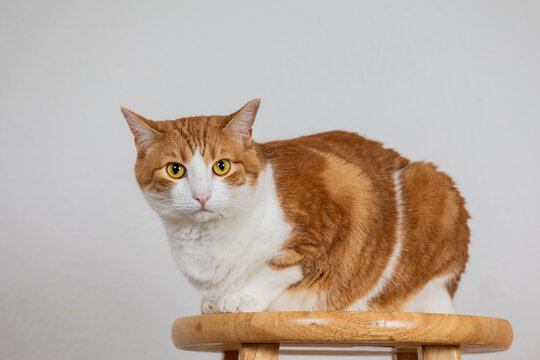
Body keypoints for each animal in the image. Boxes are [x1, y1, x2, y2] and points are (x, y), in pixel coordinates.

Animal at [121, 99, 468, 316]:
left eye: (221, 166)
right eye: (175, 170)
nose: (202, 196)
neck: (208, 243)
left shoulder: (331, 217)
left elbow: (277, 267)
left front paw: (241, 297)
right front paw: (213, 300)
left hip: (431, 184)